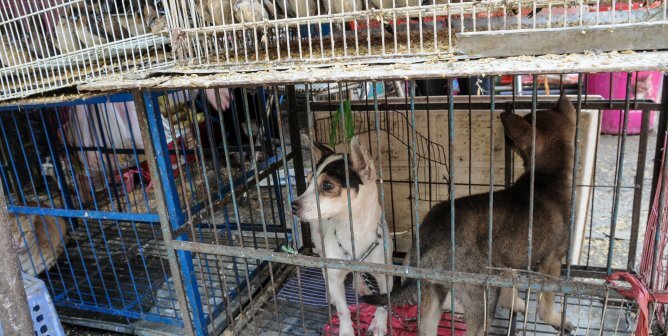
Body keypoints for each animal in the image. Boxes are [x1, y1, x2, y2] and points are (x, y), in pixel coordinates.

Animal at [290, 136, 392, 336]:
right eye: (308, 181)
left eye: (327, 185)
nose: (293, 205)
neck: (352, 233)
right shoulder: (335, 276)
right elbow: (343, 310)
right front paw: (346, 330)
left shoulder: (386, 276)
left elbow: (383, 304)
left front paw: (379, 324)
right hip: (319, 243)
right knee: (325, 272)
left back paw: (360, 284)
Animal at [362, 95, 576, 336]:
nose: (505, 135)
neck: (547, 175)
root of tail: (432, 240)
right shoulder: (552, 260)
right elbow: (546, 303)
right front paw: (557, 319)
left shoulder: (504, 264)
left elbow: (510, 287)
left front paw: (516, 304)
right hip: (482, 296)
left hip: (431, 291)